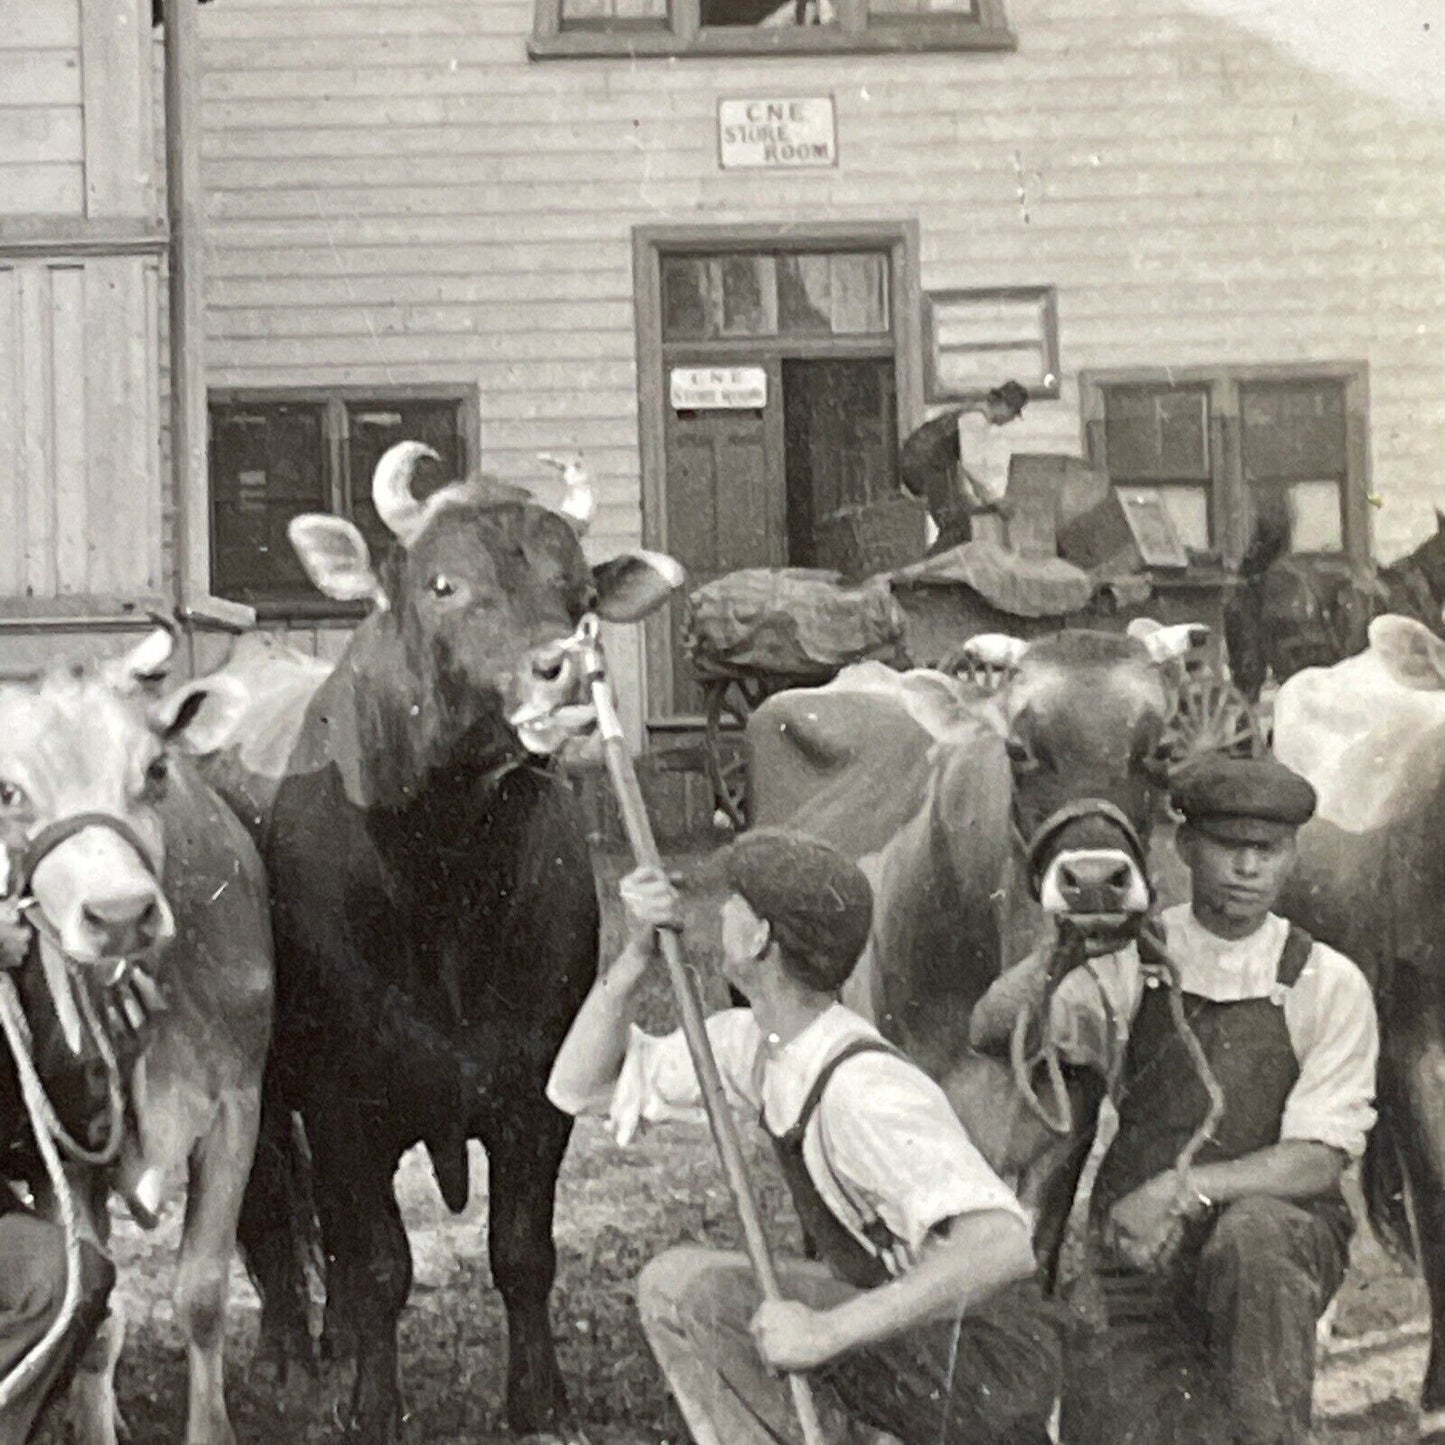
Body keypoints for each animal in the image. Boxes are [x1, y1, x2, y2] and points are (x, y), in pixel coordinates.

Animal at [0, 632, 271, 1445]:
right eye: (8, 792)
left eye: (154, 771)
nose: (120, 913)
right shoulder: (63, 1150)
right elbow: (93, 1317)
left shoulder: (238, 1104)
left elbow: (203, 1293)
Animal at [199, 442, 687, 1445]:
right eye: (443, 583)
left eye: (579, 588)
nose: (565, 674)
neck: (448, 879)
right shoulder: (343, 1102)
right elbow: (382, 1258)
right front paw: (374, 1407)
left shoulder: (534, 1091)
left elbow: (522, 1251)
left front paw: (540, 1402)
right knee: (271, 1213)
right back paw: (288, 1353)